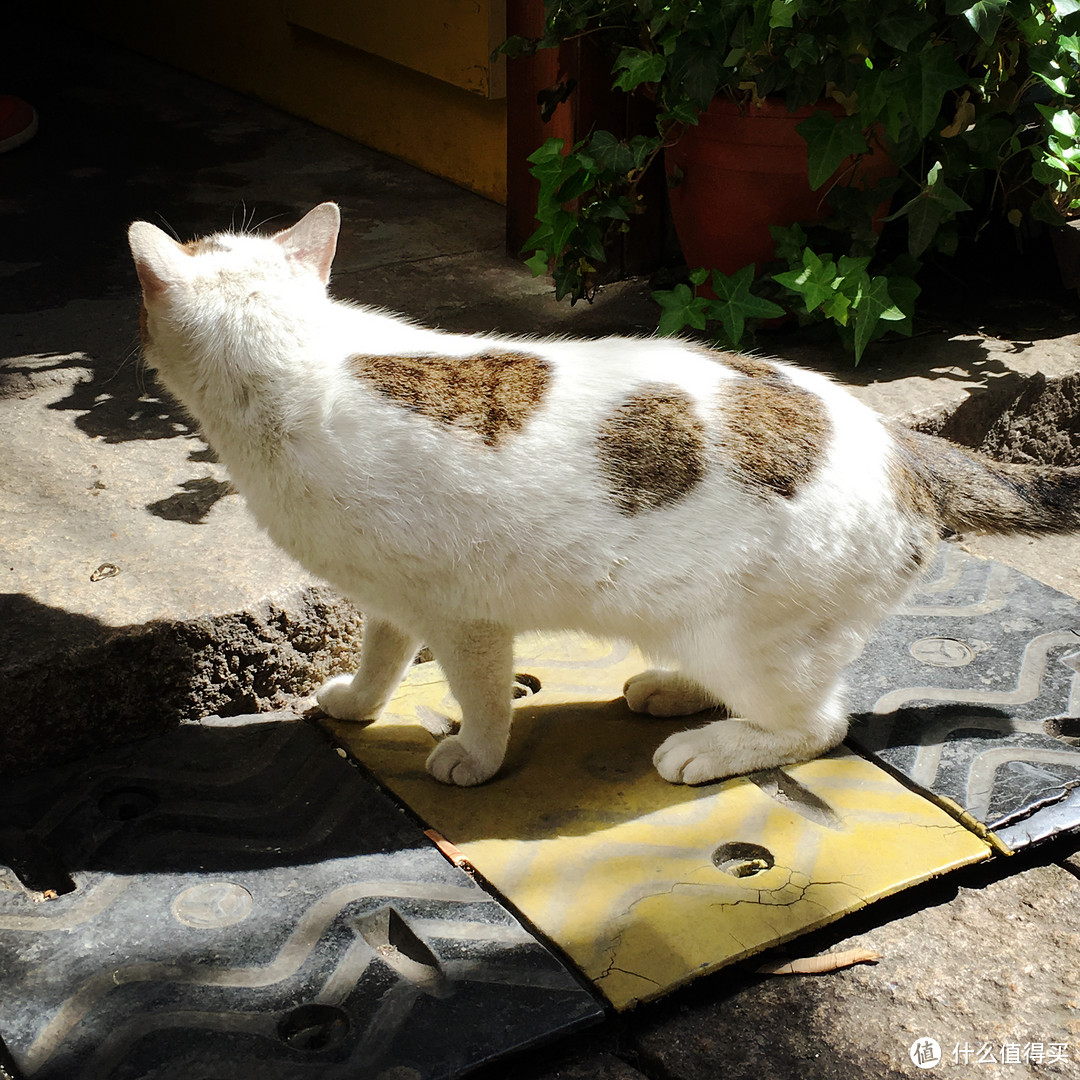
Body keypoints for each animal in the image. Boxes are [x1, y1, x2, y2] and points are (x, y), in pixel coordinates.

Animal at [128, 204, 1080, 786]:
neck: (301, 366)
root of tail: (900, 444)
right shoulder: (392, 597)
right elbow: (381, 657)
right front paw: (358, 705)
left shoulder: (466, 619)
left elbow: (481, 697)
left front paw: (473, 757)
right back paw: (670, 690)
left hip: (756, 643)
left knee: (819, 726)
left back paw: (705, 746)